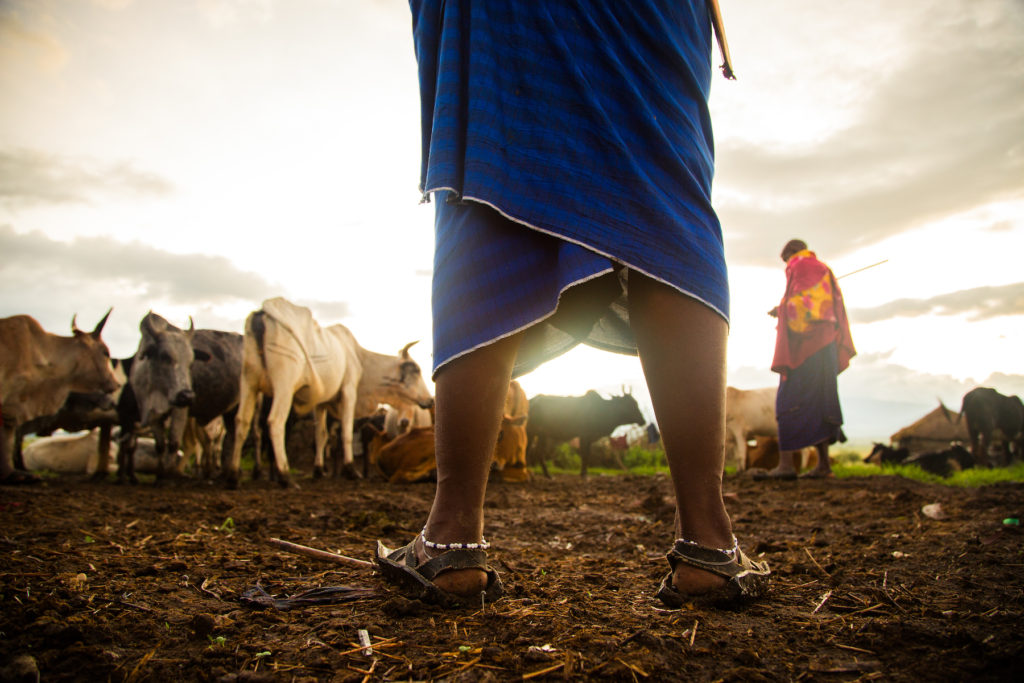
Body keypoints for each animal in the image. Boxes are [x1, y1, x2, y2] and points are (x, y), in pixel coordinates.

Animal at [224, 296, 432, 489]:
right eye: (416, 370)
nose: (430, 400)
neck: (359, 359)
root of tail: (264, 311)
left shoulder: (321, 402)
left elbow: (321, 435)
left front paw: (318, 470)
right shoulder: (348, 392)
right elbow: (346, 432)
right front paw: (350, 470)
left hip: (248, 382)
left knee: (241, 422)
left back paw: (233, 476)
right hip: (284, 384)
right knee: (275, 422)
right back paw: (285, 477)